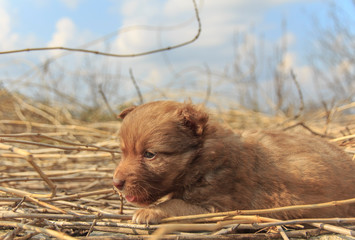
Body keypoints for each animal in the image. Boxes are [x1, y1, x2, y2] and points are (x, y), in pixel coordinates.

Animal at [113, 100, 355, 224]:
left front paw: (149, 212)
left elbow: (175, 204)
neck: (202, 159)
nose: (116, 183)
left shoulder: (217, 205)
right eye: (123, 152)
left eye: (150, 154)